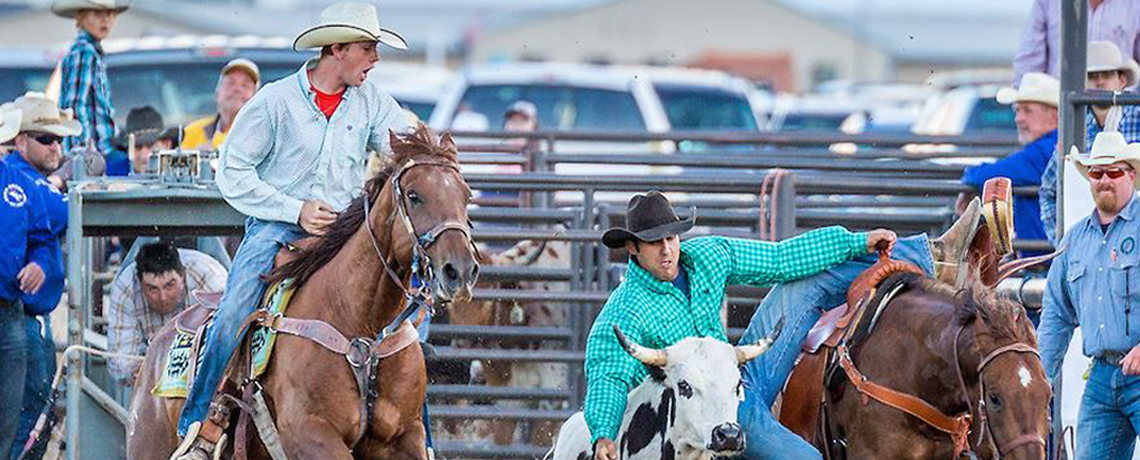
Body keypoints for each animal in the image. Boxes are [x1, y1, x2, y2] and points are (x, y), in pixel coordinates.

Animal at [128, 126, 481, 459]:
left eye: (466, 196)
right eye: (413, 195)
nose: (460, 271)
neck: (359, 322)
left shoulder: (403, 436)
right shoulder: (310, 433)